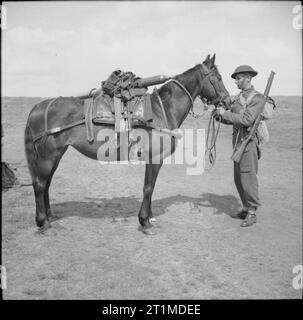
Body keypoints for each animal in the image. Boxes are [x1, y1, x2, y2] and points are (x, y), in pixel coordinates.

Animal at [25, 53, 232, 235]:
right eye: (218, 77)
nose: (228, 102)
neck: (163, 109)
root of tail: (39, 107)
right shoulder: (155, 158)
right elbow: (148, 188)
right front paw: (144, 222)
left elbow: (151, 187)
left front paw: (150, 217)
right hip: (48, 156)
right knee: (39, 184)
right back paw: (43, 223)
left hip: (56, 154)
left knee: (46, 183)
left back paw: (49, 216)